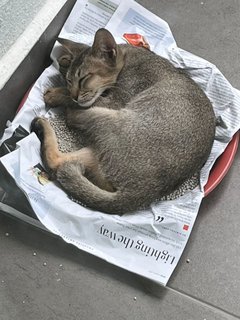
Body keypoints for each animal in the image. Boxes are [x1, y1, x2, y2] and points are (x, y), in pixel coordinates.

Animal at [30, 28, 216, 215]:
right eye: (69, 80)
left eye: (83, 78)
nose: (74, 95)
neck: (128, 56)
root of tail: (142, 193)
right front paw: (65, 62)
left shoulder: (114, 101)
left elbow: (81, 100)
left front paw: (56, 94)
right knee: (58, 161)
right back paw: (42, 125)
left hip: (110, 118)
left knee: (71, 121)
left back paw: (51, 119)